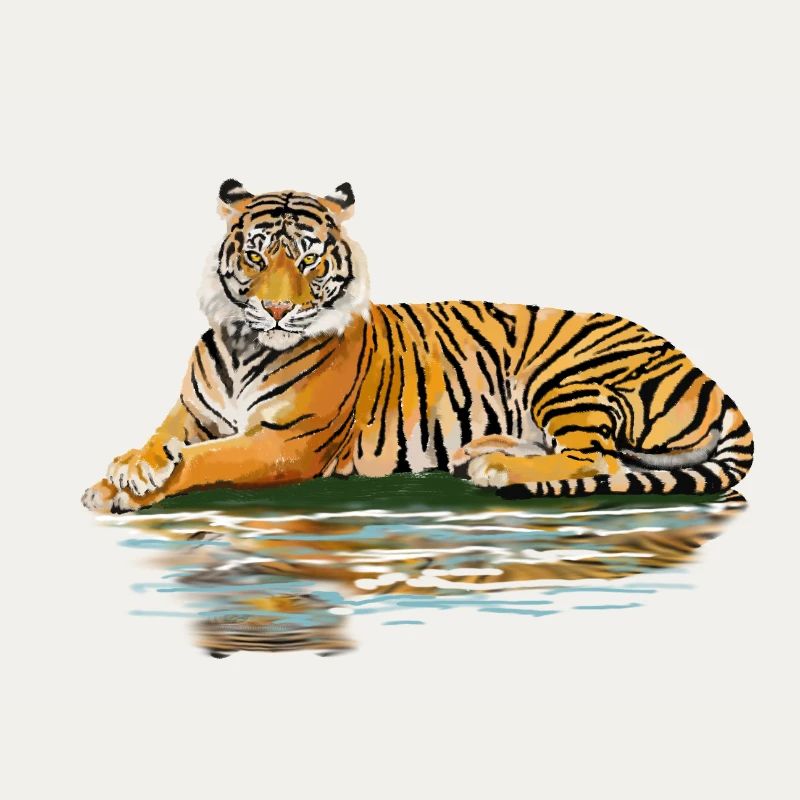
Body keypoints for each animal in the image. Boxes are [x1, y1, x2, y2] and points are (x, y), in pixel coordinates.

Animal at [81, 180, 754, 513]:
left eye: (308, 258)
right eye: (255, 255)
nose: (276, 309)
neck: (246, 343)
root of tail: (705, 374)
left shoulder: (285, 444)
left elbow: (205, 460)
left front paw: (131, 490)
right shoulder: (191, 413)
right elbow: (162, 440)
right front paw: (124, 471)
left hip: (567, 376)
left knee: (600, 462)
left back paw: (496, 468)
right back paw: (484, 450)